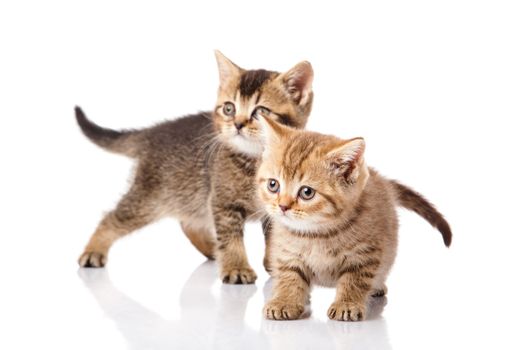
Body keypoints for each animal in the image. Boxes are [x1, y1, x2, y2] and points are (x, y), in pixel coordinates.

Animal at [75, 50, 314, 284]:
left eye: (260, 111)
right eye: (229, 108)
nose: (237, 124)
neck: (255, 162)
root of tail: (152, 132)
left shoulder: (277, 208)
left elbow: (275, 238)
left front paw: (276, 265)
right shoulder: (223, 203)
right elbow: (231, 239)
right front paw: (236, 267)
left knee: (188, 222)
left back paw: (212, 249)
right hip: (149, 199)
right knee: (112, 217)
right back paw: (93, 251)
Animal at [255, 119, 450, 322]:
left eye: (307, 192)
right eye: (273, 184)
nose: (282, 206)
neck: (317, 233)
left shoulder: (365, 254)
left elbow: (355, 279)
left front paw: (346, 304)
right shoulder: (286, 252)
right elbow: (289, 276)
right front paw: (284, 301)